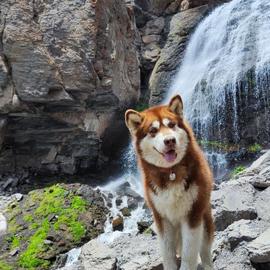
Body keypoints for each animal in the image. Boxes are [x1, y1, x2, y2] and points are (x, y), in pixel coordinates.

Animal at [125, 94, 215, 268]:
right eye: (153, 130)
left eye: (172, 125)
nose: (170, 140)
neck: (171, 172)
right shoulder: (161, 218)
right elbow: (167, 254)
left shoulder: (192, 215)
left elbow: (189, 255)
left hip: (205, 222)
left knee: (205, 253)